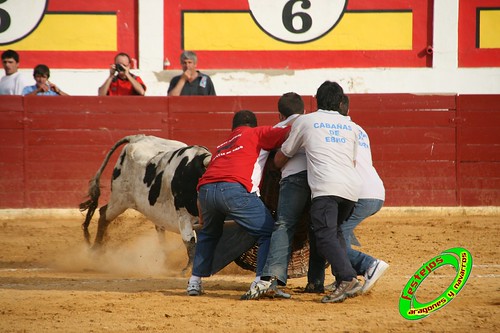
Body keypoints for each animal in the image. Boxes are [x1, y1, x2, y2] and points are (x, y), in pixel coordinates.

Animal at [79, 134, 211, 274]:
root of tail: (137, 138)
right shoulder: (183, 215)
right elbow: (190, 242)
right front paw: (188, 269)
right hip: (120, 198)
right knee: (104, 215)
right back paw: (96, 253)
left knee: (159, 228)